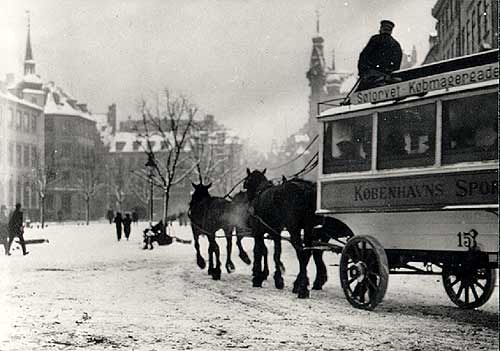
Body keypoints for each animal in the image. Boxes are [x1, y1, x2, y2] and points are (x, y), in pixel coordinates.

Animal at [244, 169, 354, 298]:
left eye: (247, 182)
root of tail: (306, 190)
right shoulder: (275, 230)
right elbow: (276, 253)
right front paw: (278, 279)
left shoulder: (258, 230)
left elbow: (259, 251)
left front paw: (258, 277)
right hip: (308, 228)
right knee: (307, 252)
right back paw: (303, 284)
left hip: (295, 228)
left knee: (302, 252)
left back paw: (302, 288)